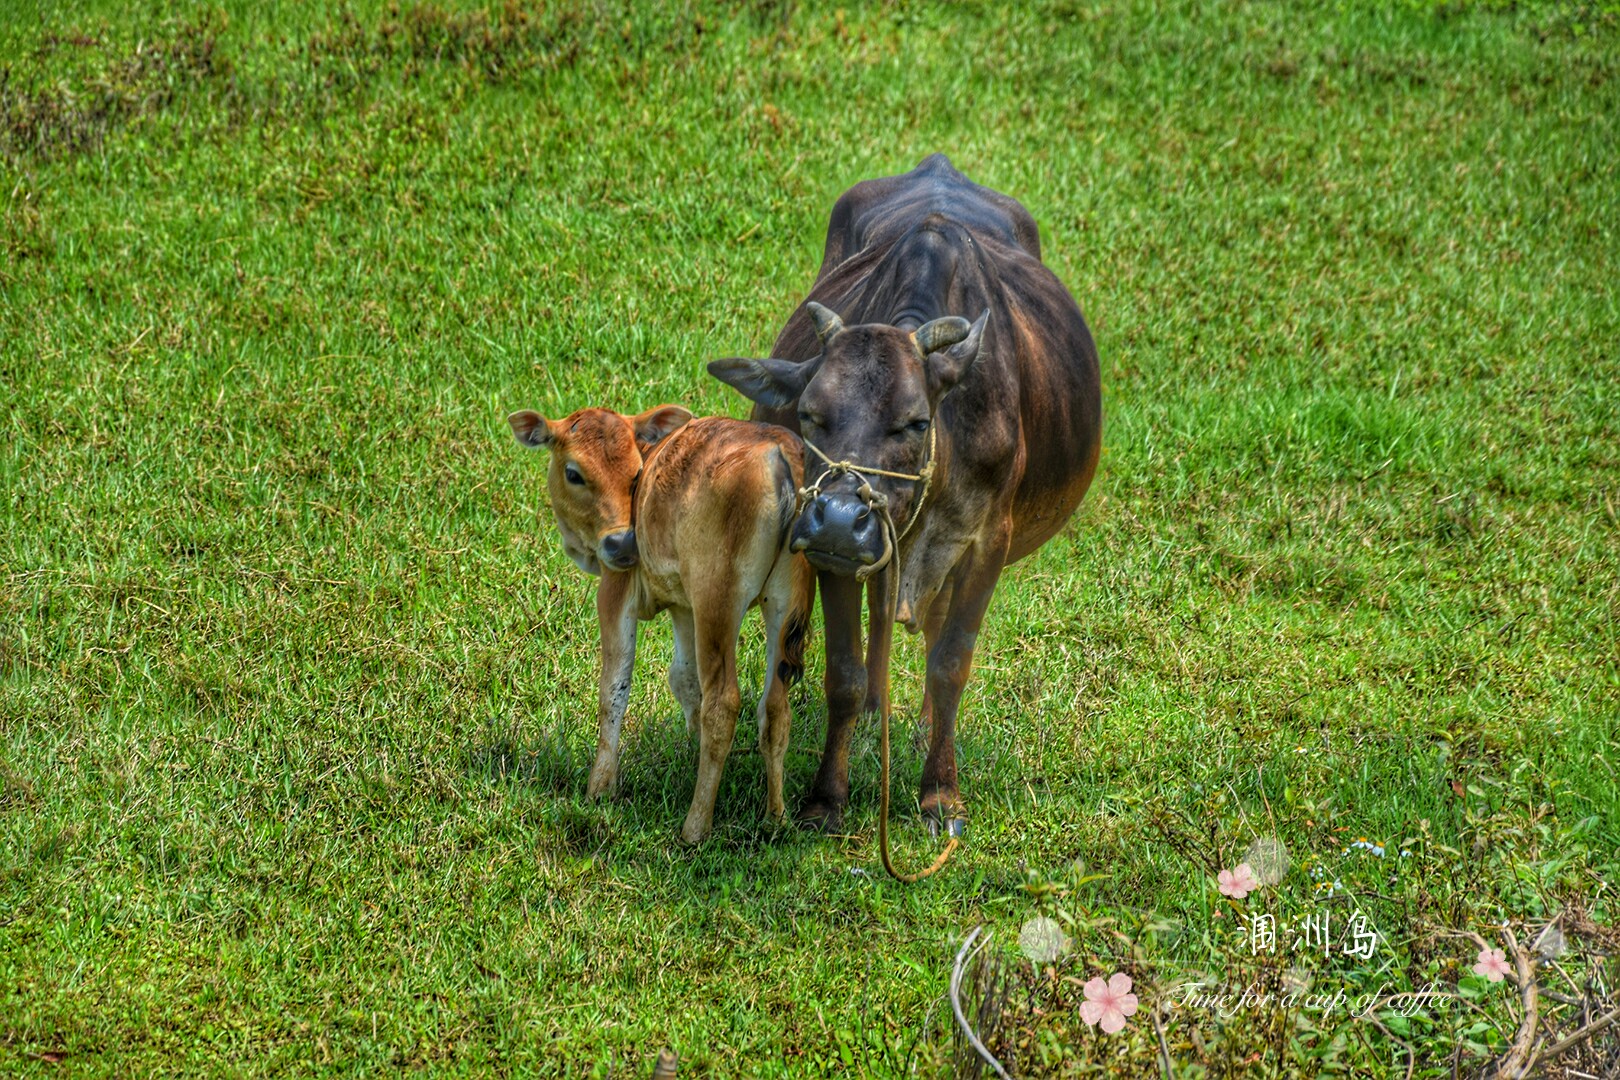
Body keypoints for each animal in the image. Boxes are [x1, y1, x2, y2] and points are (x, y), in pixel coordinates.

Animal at [508, 404, 816, 841]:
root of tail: (779, 453)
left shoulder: (616, 589)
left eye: (636, 472)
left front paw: (600, 786)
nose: (622, 542)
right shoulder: (683, 607)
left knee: (724, 702)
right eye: (575, 473)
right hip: (785, 600)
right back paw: (775, 817)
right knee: (774, 707)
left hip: (717, 597)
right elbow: (684, 680)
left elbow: (613, 689)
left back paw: (696, 826)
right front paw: (689, 751)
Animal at [709, 156, 1101, 835]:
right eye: (809, 414)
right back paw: (875, 712)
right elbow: (842, 671)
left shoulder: (985, 543)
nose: (841, 518)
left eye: (916, 422)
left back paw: (917, 729)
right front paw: (826, 797)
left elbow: (950, 663)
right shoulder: (834, 555)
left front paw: (940, 793)